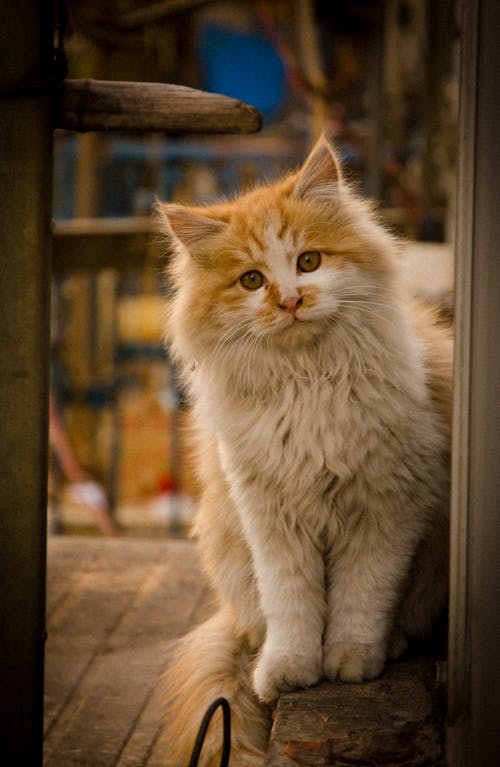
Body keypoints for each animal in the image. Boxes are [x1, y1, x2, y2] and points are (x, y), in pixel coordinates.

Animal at [157, 138, 454, 767]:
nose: (291, 300)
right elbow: (292, 603)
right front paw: (291, 668)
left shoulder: (387, 508)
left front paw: (351, 659)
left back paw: (391, 642)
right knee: (256, 624)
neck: (309, 382)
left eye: (310, 262)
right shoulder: (270, 516)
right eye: (250, 280)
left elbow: (361, 597)